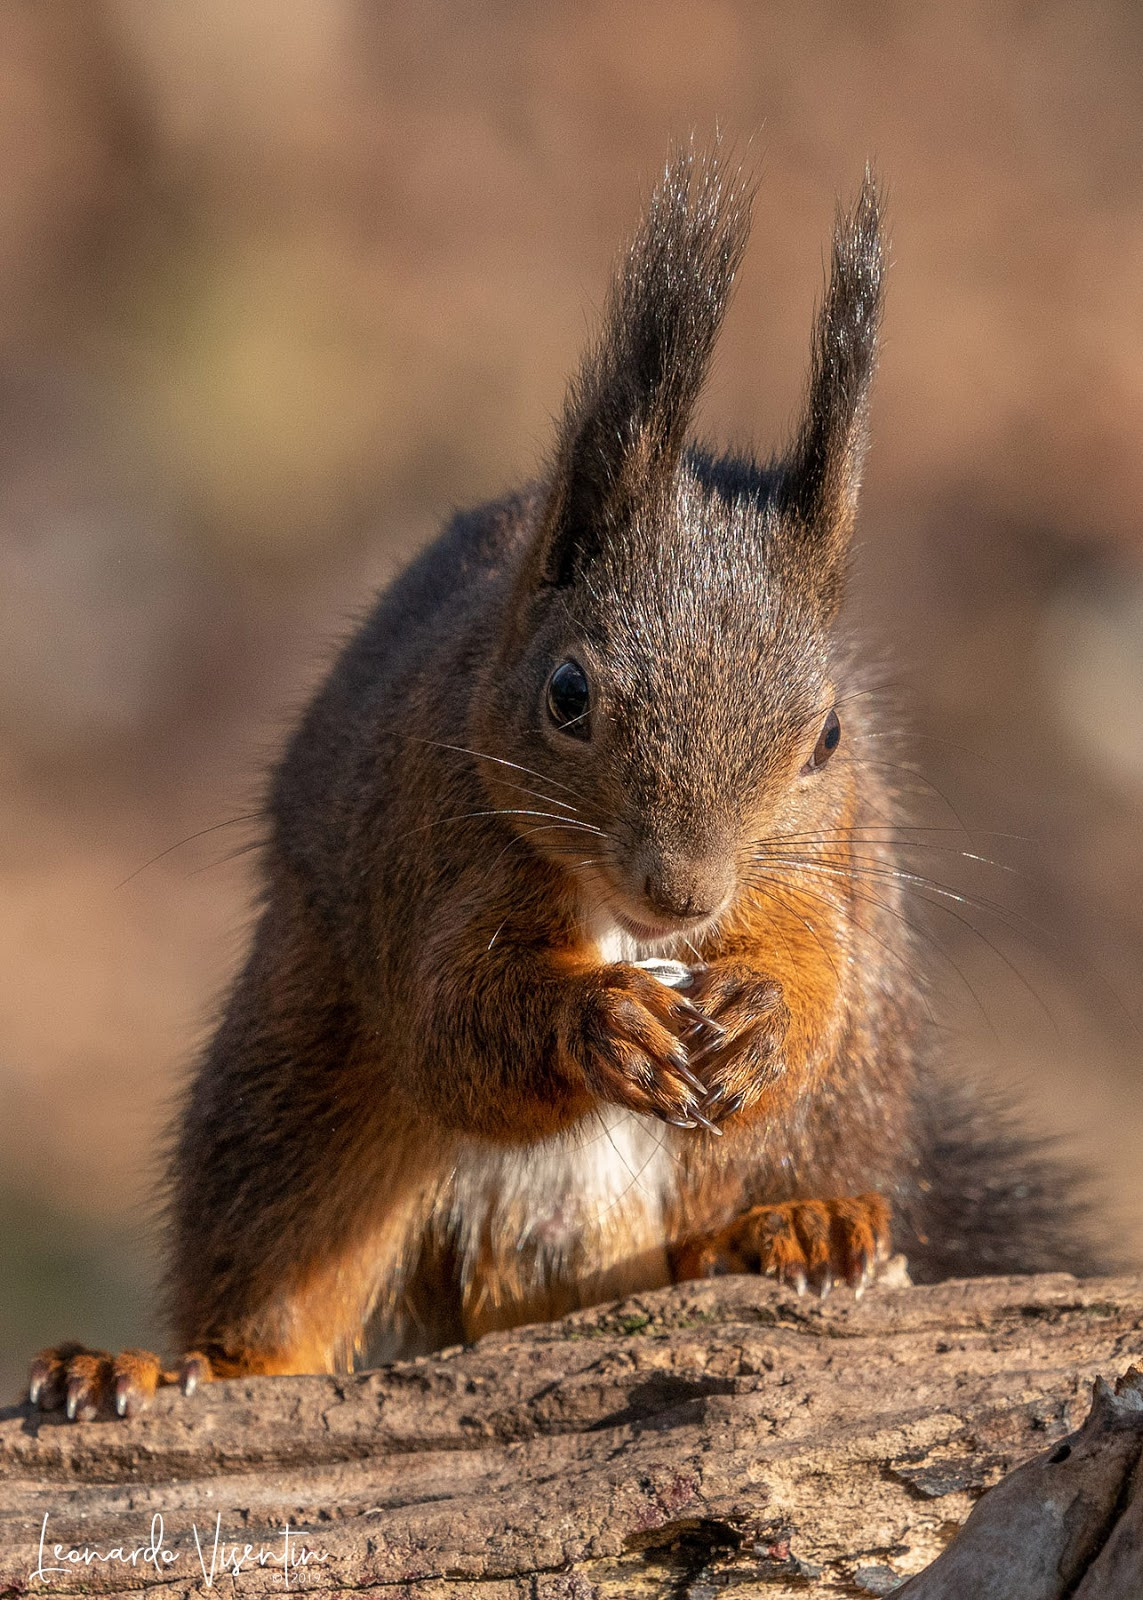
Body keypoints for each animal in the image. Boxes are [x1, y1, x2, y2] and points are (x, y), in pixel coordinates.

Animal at [29, 149, 1095, 1422]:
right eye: (568, 693)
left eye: (829, 733)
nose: (683, 894)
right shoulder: (432, 847)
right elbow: (451, 1027)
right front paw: (602, 1022)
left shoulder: (817, 863)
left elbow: (812, 970)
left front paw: (763, 1017)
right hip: (298, 1087)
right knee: (281, 1272)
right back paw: (168, 1363)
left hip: (853, 1093)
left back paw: (797, 1223)